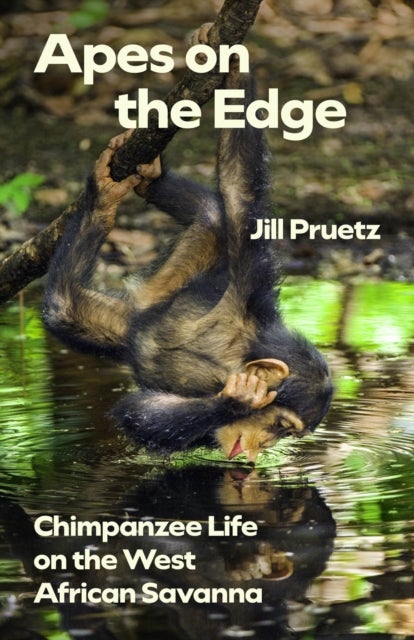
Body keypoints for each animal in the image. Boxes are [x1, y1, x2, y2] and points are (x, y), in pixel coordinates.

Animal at [43, 52, 333, 464]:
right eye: (279, 425)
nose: (265, 446)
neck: (231, 359)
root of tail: (143, 309)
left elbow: (147, 414)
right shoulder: (250, 283)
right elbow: (240, 190)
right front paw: (240, 399)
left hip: (134, 308)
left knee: (209, 214)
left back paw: (147, 180)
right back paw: (104, 195)